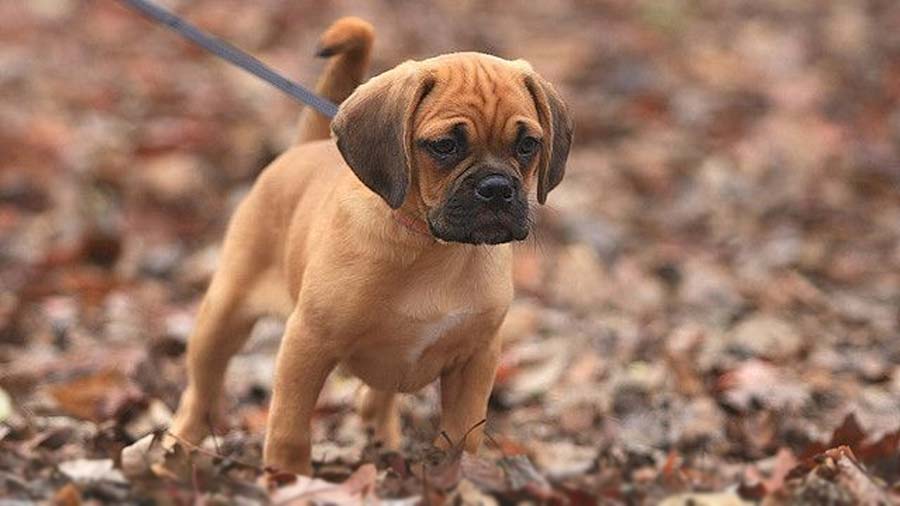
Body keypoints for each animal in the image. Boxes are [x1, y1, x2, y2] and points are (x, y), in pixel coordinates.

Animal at [168, 15, 572, 474]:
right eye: (445, 146)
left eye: (528, 145)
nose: (497, 188)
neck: (432, 246)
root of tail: (308, 145)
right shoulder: (308, 344)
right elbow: (290, 428)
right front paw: (290, 479)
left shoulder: (477, 359)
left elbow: (462, 435)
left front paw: (452, 479)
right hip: (221, 319)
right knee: (201, 392)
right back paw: (175, 451)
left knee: (376, 400)